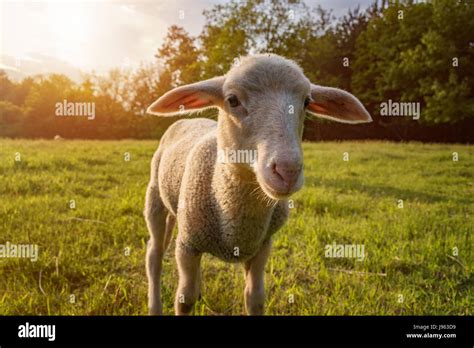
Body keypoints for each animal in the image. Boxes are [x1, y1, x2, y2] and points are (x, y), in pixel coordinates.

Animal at [144, 53, 370, 316]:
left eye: (306, 102)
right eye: (232, 100)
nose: (288, 171)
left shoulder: (262, 244)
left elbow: (255, 297)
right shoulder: (187, 244)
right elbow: (184, 299)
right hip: (155, 199)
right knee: (155, 255)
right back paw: (154, 305)